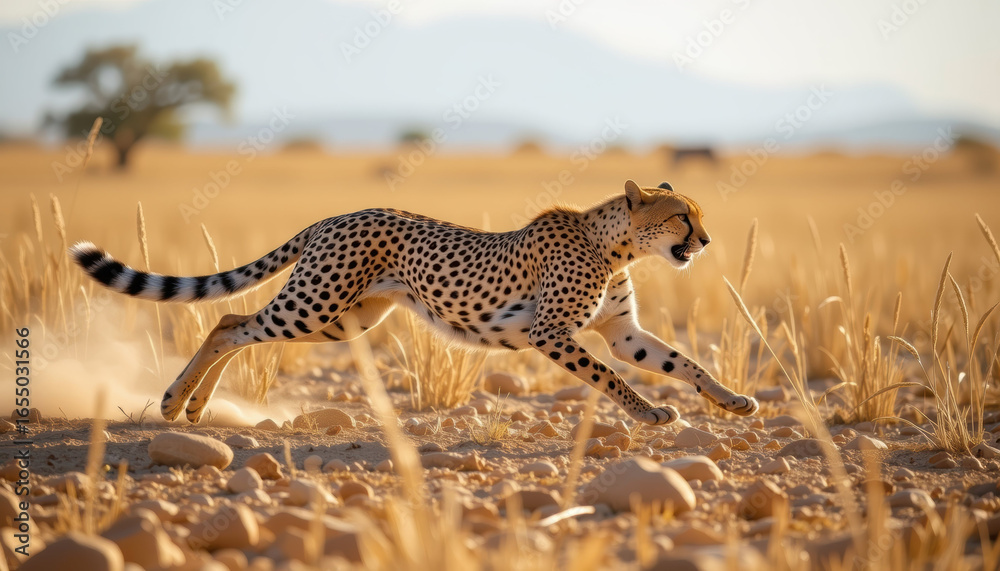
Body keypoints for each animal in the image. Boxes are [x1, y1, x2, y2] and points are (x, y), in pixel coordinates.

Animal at [70, 179, 759, 425]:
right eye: (681, 216)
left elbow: (683, 362)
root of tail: (337, 214)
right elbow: (611, 378)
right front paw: (648, 413)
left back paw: (193, 406)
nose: (705, 241)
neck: (613, 245)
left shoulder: (622, 332)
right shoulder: (551, 333)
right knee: (229, 319)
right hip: (315, 305)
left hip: (339, 322)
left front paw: (732, 400)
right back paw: (173, 401)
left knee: (236, 324)